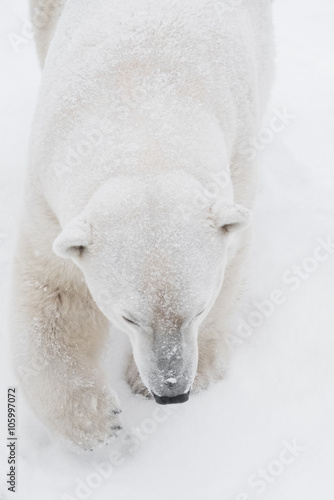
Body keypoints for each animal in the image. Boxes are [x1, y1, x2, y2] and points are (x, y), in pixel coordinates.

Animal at [10, 0, 276, 448]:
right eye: (129, 317)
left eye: (198, 309)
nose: (171, 391)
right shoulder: (47, 195)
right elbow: (55, 293)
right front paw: (100, 419)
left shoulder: (239, 162)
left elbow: (232, 261)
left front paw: (198, 370)